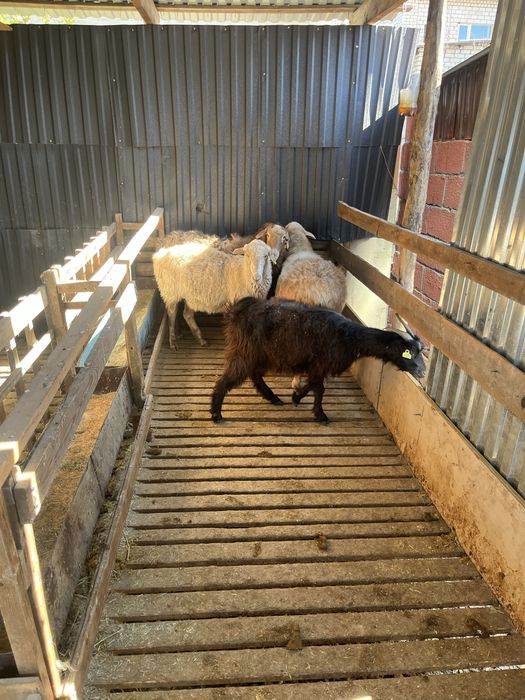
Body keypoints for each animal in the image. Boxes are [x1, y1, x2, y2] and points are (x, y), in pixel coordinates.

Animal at [210, 297, 426, 423]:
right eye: (409, 351)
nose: (422, 372)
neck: (349, 337)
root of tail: (236, 310)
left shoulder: (317, 366)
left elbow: (313, 386)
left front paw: (296, 397)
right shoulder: (321, 363)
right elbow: (319, 389)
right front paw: (321, 415)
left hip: (259, 355)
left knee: (255, 375)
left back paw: (273, 398)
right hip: (246, 352)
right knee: (226, 380)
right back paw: (216, 413)